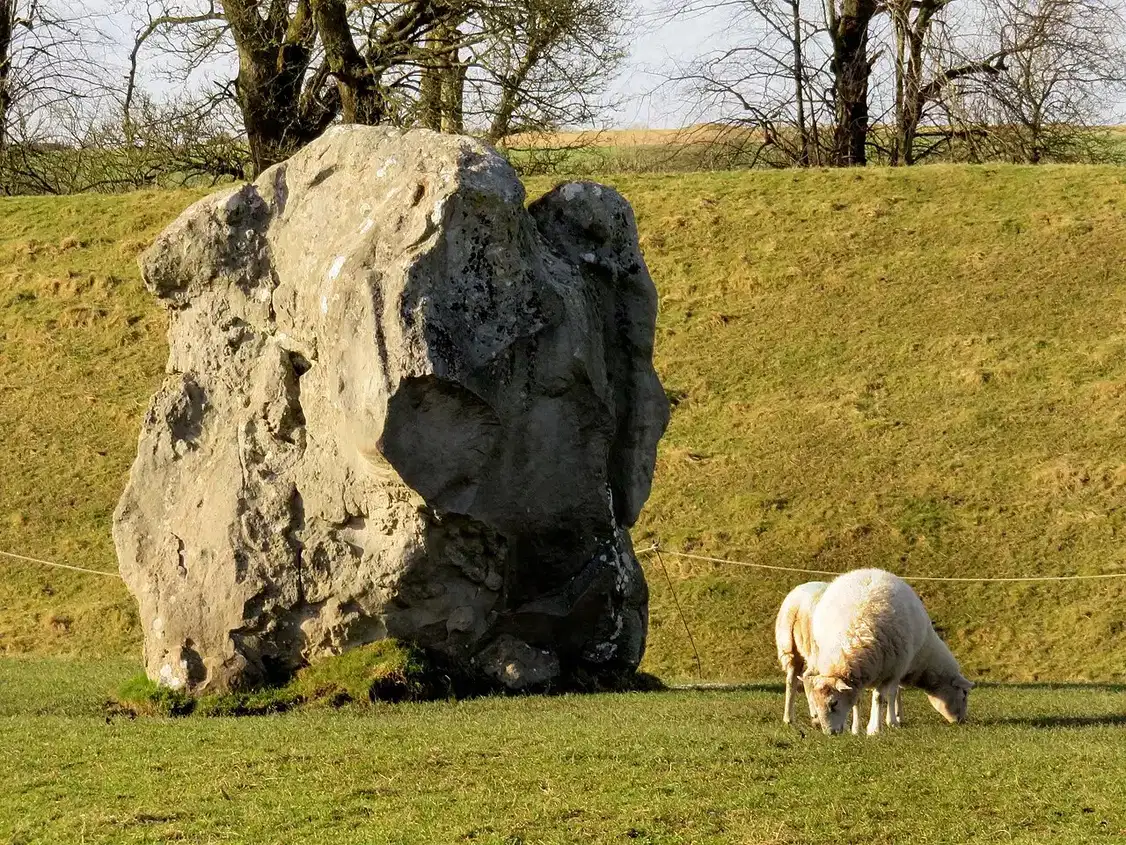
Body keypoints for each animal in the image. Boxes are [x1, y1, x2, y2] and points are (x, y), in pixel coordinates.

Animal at [776, 581, 902, 731]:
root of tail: (797, 606)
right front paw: (893, 719)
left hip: (791, 648)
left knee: (792, 679)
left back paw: (789, 718)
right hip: (816, 653)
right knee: (807, 677)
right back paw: (817, 716)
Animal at [803, 568, 973, 736]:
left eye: (833, 703)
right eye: (964, 694)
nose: (830, 733)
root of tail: (870, 570)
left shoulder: (892, 671)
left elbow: (882, 697)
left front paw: (879, 727)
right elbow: (860, 700)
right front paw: (857, 728)